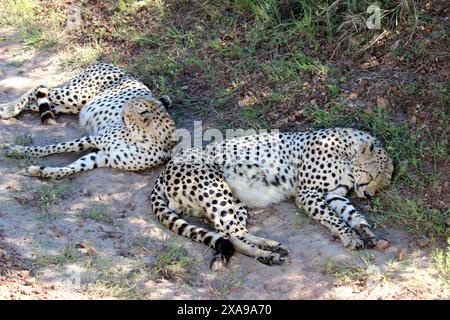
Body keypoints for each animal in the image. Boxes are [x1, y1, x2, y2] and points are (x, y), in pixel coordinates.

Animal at [0, 61, 175, 179]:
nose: (122, 110)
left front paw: (42, 171)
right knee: (39, 88)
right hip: (75, 95)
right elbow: (54, 147)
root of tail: (105, 63)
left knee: (39, 102)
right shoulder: (93, 138)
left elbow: (73, 167)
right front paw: (18, 150)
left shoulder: (104, 157)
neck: (141, 138)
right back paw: (8, 109)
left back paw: (7, 108)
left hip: (71, 106)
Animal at [149, 127, 392, 270]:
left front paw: (367, 232)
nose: (368, 194)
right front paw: (349, 237)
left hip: (234, 201)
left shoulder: (333, 195)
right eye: (373, 176)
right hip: (215, 189)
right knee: (232, 233)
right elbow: (334, 219)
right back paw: (268, 253)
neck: (346, 150)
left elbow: (352, 213)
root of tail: (166, 168)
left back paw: (269, 249)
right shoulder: (308, 194)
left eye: (382, 183)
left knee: (231, 233)